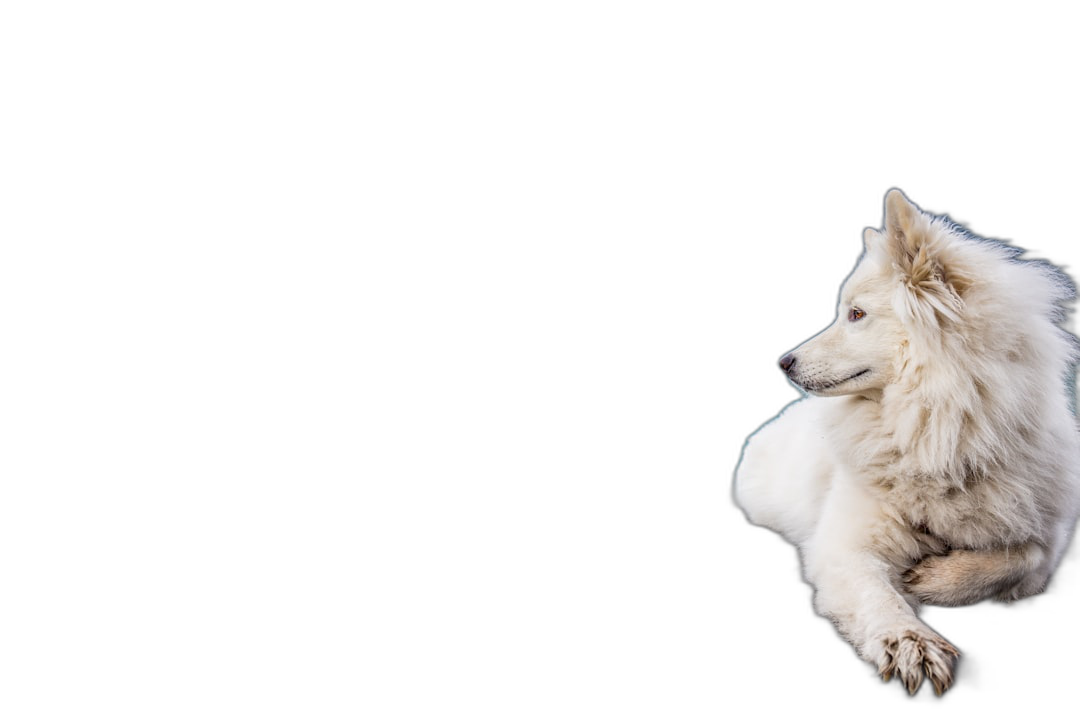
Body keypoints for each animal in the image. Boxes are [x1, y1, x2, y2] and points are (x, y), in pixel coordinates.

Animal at [734, 188, 1080, 695]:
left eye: (856, 314)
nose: (783, 362)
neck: (939, 435)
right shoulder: (845, 548)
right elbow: (879, 599)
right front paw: (908, 643)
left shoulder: (1045, 541)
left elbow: (1017, 557)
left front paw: (931, 580)